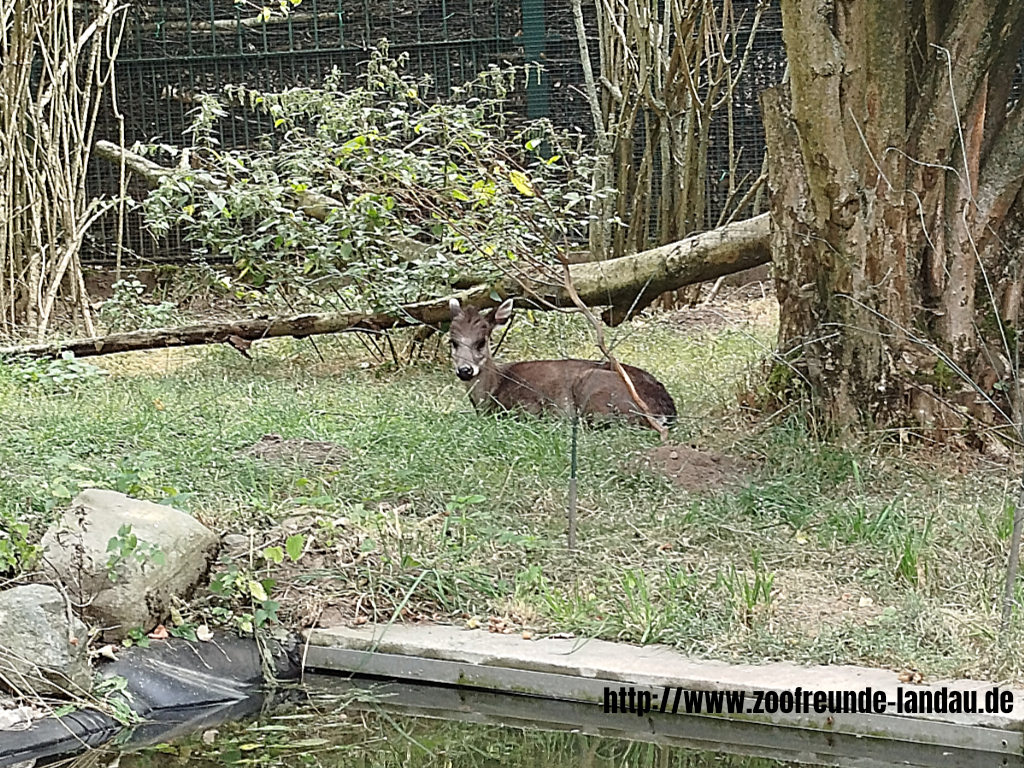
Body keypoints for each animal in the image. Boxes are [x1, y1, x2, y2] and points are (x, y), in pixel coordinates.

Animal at [446, 299, 671, 430]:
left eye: (481, 341)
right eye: (452, 342)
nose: (465, 370)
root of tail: (667, 411)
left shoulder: (529, 406)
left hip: (592, 387)